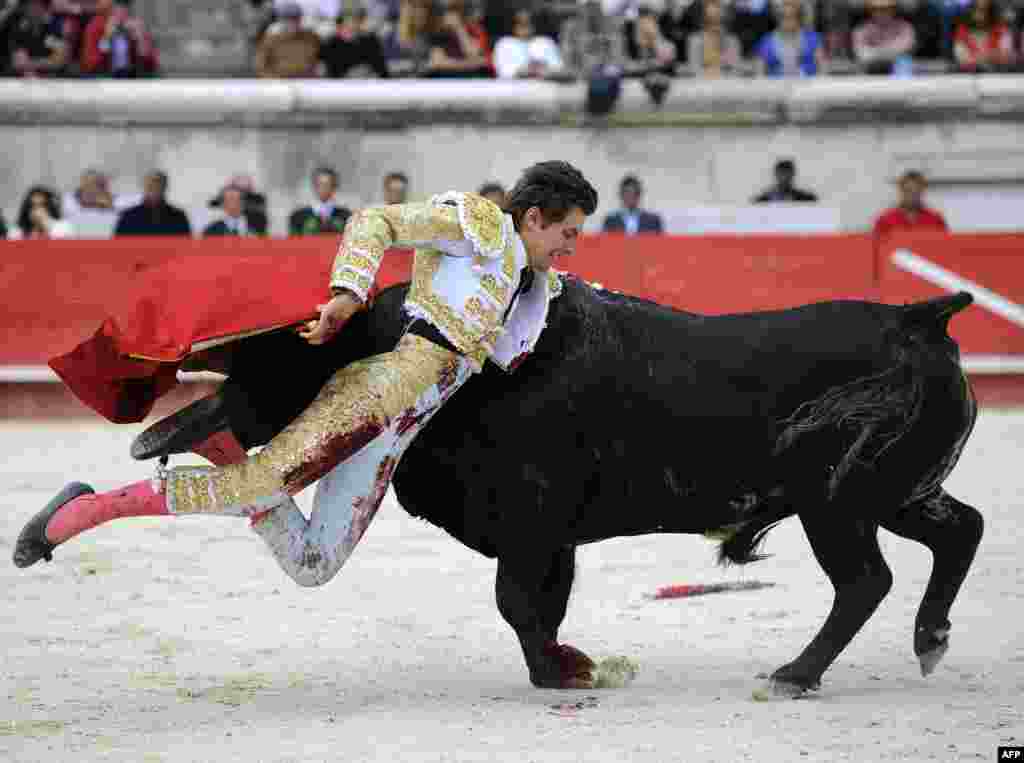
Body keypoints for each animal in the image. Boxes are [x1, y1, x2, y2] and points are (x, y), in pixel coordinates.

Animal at [188, 276, 978, 692]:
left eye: (273, 367)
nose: (217, 409)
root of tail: (917, 317)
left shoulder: (530, 522)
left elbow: (516, 601)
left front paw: (561, 669)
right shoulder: (551, 535)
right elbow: (543, 603)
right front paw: (565, 663)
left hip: (837, 504)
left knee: (865, 580)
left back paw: (797, 671)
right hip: (896, 494)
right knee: (960, 529)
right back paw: (929, 637)